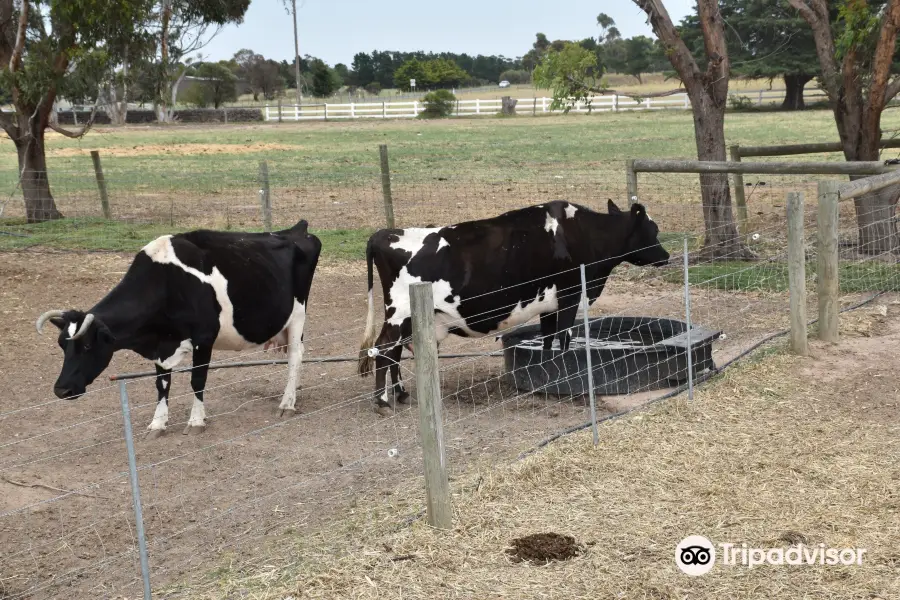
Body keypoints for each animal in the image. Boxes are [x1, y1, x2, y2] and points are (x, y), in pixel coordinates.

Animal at [37, 219, 324, 436]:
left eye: (86, 345)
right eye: (62, 345)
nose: (61, 390)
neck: (166, 283)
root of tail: (295, 229)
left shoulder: (204, 337)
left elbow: (197, 380)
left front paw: (196, 421)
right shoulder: (161, 345)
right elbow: (162, 384)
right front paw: (158, 424)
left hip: (298, 313)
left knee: (295, 355)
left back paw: (287, 403)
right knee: (298, 355)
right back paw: (295, 390)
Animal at [356, 199, 668, 414]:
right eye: (653, 230)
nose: (666, 256)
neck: (584, 234)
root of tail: (385, 233)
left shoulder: (549, 305)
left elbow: (547, 342)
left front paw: (546, 378)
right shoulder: (569, 296)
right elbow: (564, 341)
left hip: (407, 319)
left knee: (394, 352)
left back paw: (401, 393)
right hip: (400, 312)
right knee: (384, 348)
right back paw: (382, 401)